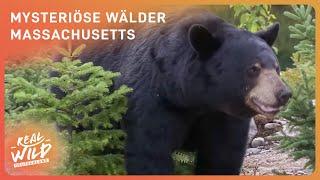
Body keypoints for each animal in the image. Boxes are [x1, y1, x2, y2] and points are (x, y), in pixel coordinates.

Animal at [78, 8, 292, 174]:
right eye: (253, 69)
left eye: (276, 67)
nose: (284, 94)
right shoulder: (153, 100)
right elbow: (150, 151)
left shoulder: (223, 115)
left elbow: (222, 153)